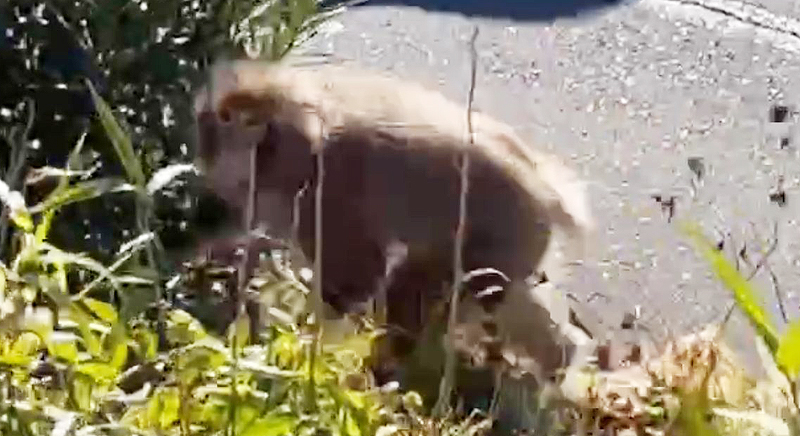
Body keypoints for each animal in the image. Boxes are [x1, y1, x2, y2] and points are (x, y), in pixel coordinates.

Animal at [191, 58, 595, 402]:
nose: (211, 187)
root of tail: (545, 185)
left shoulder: (327, 189)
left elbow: (350, 278)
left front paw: (309, 348)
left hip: (499, 232)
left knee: (461, 287)